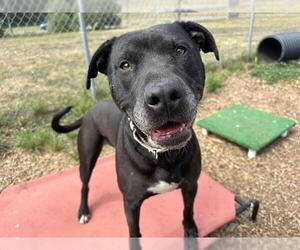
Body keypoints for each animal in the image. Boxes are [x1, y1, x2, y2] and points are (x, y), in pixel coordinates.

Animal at [52, 21, 219, 236]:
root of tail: (89, 110)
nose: (164, 94)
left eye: (181, 50)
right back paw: (83, 211)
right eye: (125, 65)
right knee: (84, 186)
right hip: (87, 158)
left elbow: (188, 209)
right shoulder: (131, 203)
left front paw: (190, 230)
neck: (162, 154)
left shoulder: (191, 186)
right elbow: (134, 233)